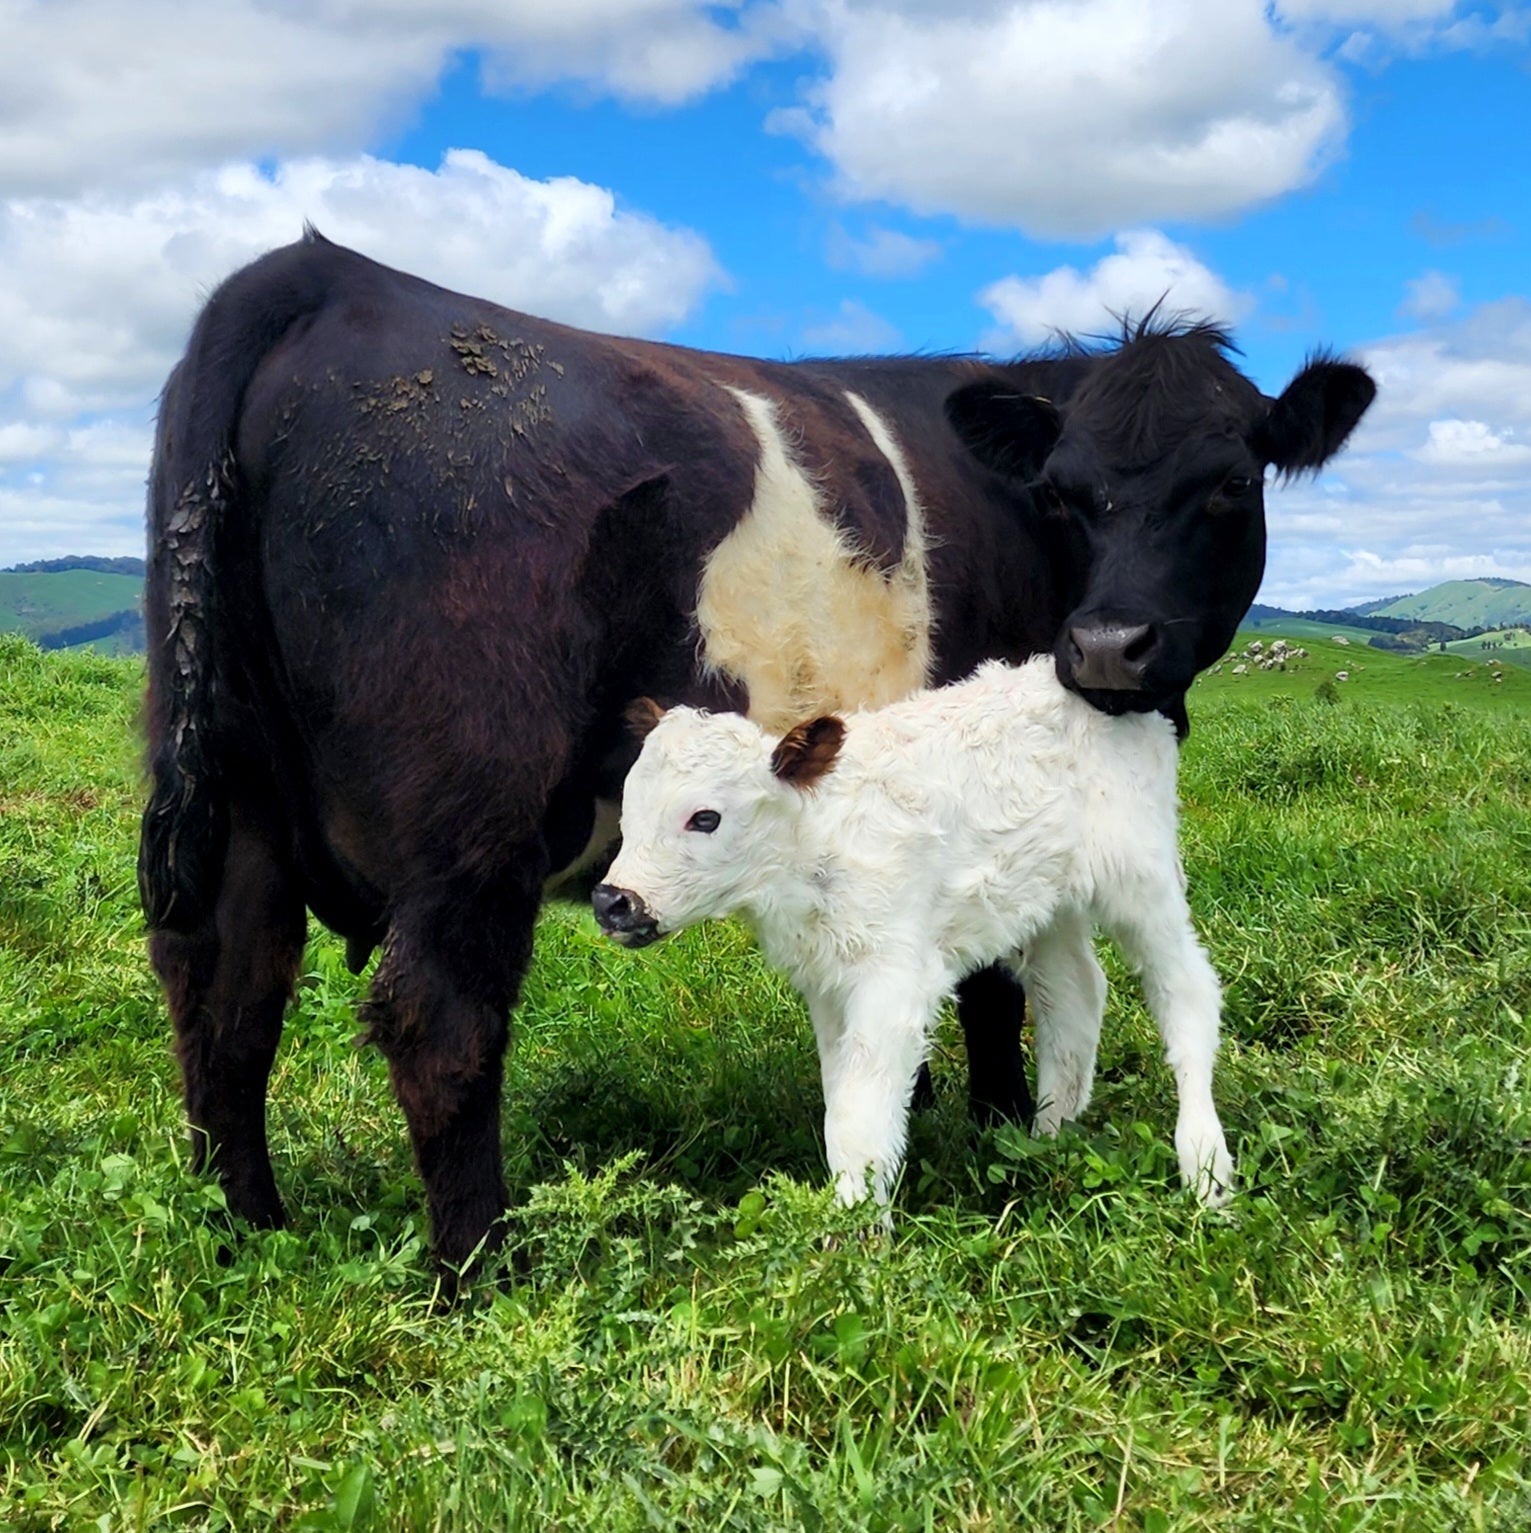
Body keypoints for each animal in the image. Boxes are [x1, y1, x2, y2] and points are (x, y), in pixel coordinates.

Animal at [591, 659, 1238, 1220]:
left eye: (706, 818)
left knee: (1187, 988)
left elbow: (860, 1118)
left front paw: (857, 1239)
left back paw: (1205, 1167)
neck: (815, 839)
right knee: (1075, 994)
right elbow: (840, 1102)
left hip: (1142, 877)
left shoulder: (895, 978)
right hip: (1048, 901)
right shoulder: (827, 985)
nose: (613, 901)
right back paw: (1049, 1140)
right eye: (628, 809)